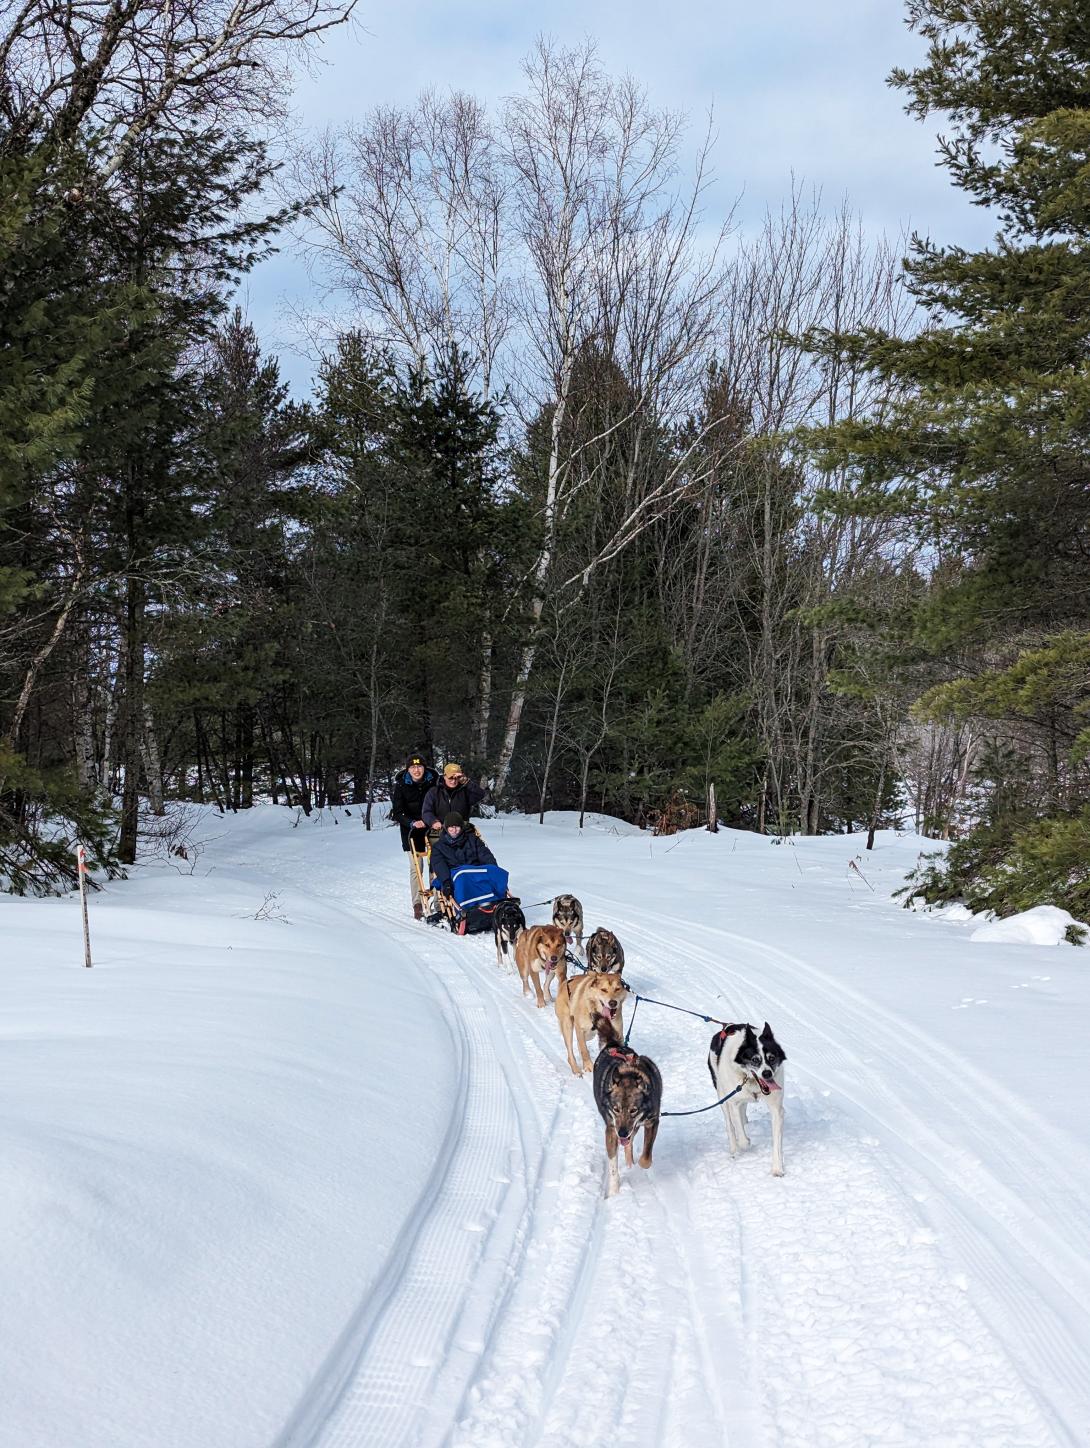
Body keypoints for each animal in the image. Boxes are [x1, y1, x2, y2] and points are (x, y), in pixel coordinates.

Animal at [590, 1007, 660, 1198]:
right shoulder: (611, 1129)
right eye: (616, 1109)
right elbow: (613, 1164)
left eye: (634, 1110)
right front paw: (614, 1192)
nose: (622, 1132)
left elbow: (646, 1156)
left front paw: (640, 1165)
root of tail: (612, 1045)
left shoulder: (652, 1121)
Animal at [706, 1019, 781, 1175]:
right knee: (730, 1125)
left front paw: (777, 1169)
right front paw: (745, 1142)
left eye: (772, 1058)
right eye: (755, 1060)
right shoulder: (733, 1102)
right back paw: (734, 1150)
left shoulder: (776, 1109)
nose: (767, 1074)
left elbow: (776, 1141)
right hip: (722, 1095)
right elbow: (742, 1139)